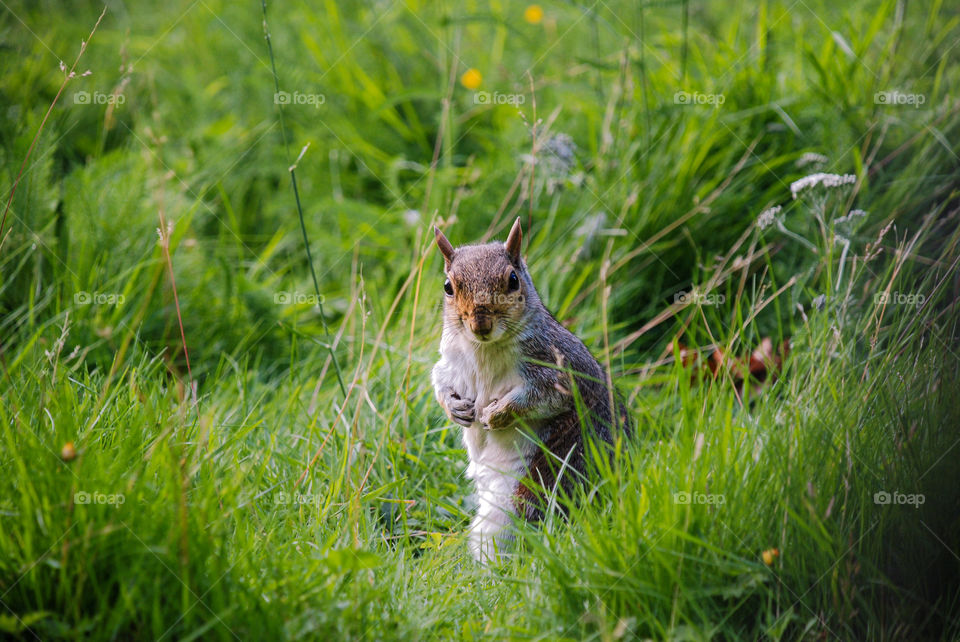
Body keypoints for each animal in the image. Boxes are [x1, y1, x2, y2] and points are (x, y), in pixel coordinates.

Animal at [431, 217, 631, 563]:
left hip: (537, 487)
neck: (484, 348)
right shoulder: (452, 362)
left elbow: (542, 397)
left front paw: (498, 414)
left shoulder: (560, 368)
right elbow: (440, 379)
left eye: (513, 280)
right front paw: (454, 408)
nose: (480, 323)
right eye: (447, 286)